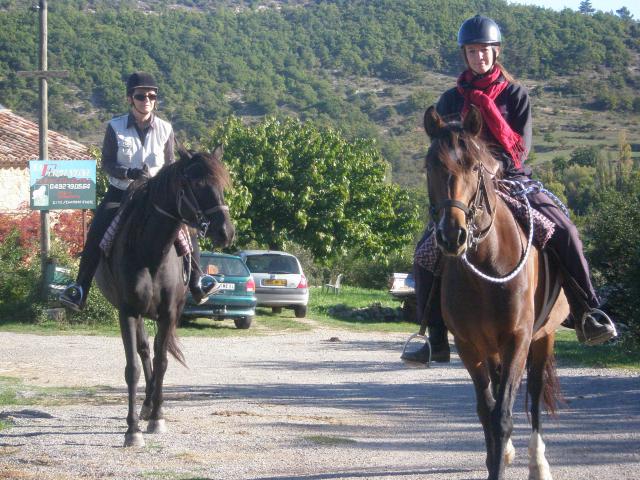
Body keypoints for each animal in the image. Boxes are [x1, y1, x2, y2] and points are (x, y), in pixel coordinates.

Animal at [94, 146, 234, 446]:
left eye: (221, 185)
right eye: (196, 184)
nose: (226, 232)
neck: (150, 252)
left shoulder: (169, 313)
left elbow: (162, 362)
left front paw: (157, 417)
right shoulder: (128, 312)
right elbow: (133, 368)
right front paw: (132, 431)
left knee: (155, 352)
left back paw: (149, 406)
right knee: (144, 350)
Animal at [422, 106, 568, 480]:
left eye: (475, 167)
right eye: (431, 166)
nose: (453, 235)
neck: (487, 269)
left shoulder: (518, 339)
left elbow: (502, 416)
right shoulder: (469, 345)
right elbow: (486, 411)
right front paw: (495, 461)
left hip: (543, 337)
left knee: (533, 396)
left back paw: (537, 463)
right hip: (492, 347)